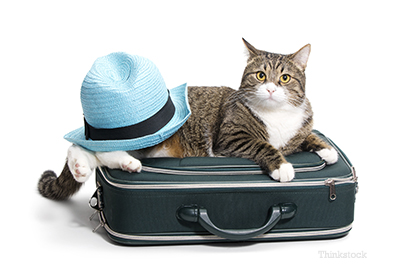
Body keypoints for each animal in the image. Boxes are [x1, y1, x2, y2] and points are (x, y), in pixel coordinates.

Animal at [38, 38, 338, 200]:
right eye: (261, 76)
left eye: (285, 78)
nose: (271, 89)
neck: (276, 114)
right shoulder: (230, 137)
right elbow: (263, 145)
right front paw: (283, 165)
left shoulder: (299, 129)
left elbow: (308, 135)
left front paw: (327, 149)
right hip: (154, 136)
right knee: (88, 147)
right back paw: (99, 162)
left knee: (94, 152)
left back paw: (98, 166)